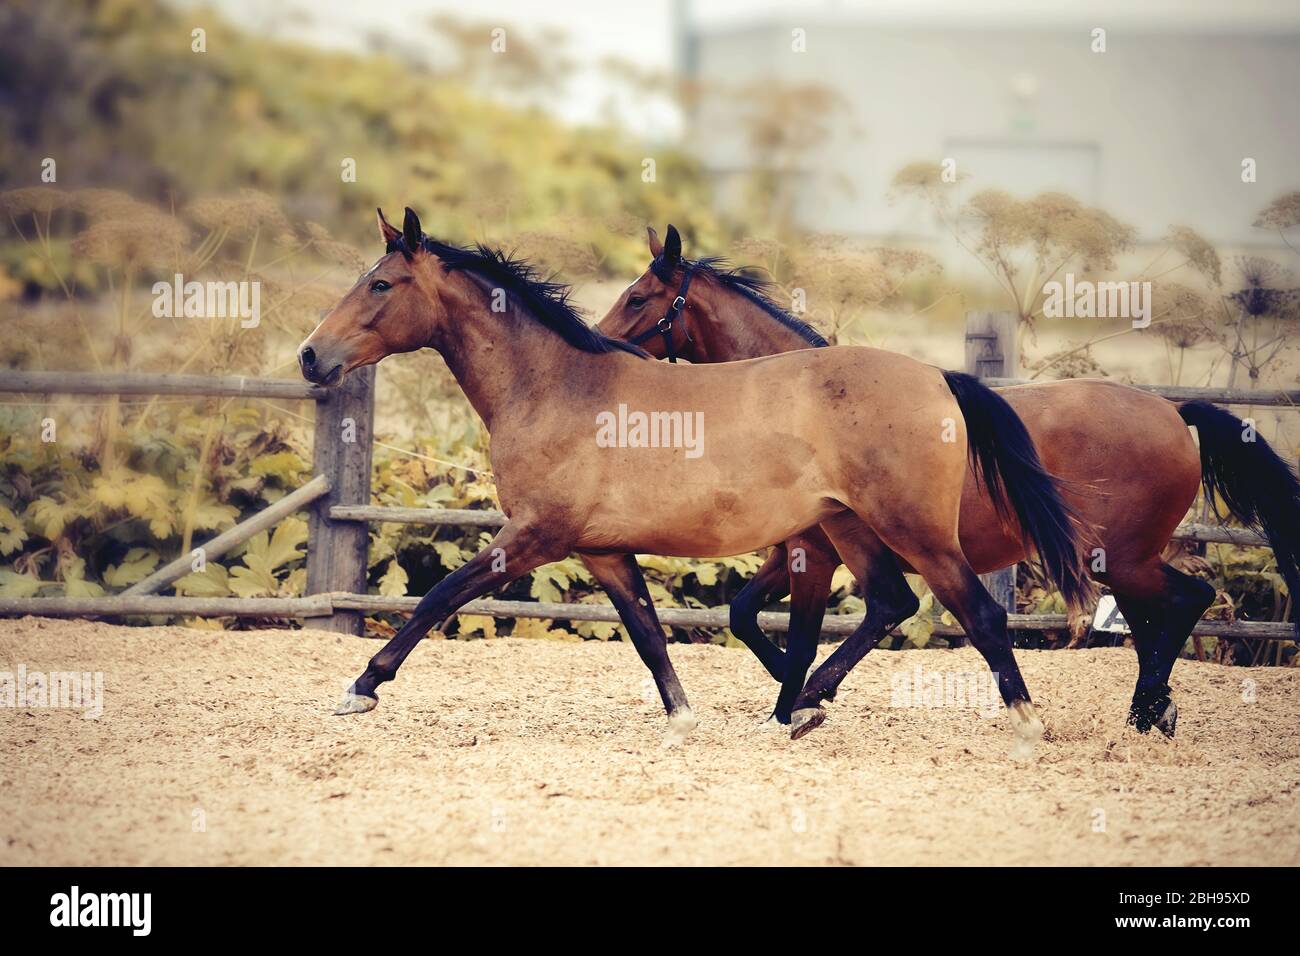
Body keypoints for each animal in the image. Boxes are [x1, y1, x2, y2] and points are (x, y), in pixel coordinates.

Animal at [297, 207, 1092, 752]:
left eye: (380, 284)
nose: (310, 356)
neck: (556, 388)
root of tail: (937, 377)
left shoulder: (533, 537)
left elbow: (438, 597)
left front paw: (360, 689)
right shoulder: (603, 551)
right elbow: (650, 634)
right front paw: (685, 718)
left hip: (913, 532)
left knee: (978, 615)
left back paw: (1026, 727)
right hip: (849, 529)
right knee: (891, 604)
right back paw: (802, 709)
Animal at [597, 224, 1300, 737]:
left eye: (637, 298)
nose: (601, 345)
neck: (805, 401)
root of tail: (1176, 413)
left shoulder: (815, 554)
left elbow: (805, 633)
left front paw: (798, 701)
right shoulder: (803, 549)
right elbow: (745, 615)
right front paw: (798, 696)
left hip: (1120, 559)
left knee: (1186, 603)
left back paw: (1145, 711)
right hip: (1121, 564)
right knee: (1160, 621)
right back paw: (1154, 710)